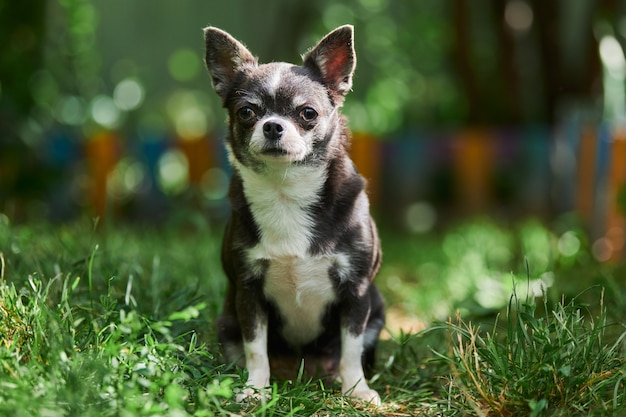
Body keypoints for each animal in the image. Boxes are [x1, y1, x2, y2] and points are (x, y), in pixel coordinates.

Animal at [202, 24, 382, 404]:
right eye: (246, 112)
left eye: (308, 113)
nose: (272, 125)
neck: (286, 192)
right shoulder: (248, 291)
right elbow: (256, 348)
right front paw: (255, 389)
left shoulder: (356, 292)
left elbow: (351, 349)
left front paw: (357, 390)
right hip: (226, 322)